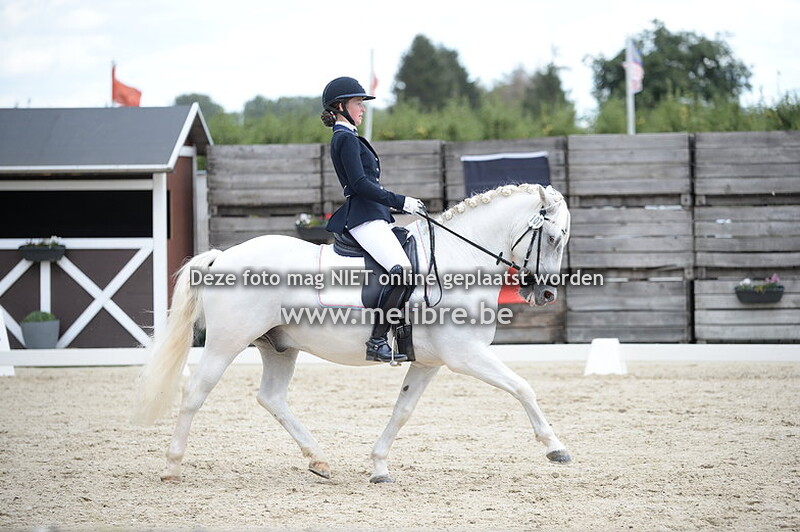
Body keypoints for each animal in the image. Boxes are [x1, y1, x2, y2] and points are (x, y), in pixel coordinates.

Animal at [133, 183, 572, 483]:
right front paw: (556, 448)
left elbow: (402, 410)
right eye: (553, 238)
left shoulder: (429, 363)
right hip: (227, 343)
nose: (546, 293)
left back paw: (319, 460)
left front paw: (379, 466)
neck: (456, 259)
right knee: (196, 392)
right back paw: (172, 466)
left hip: (279, 347)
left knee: (271, 397)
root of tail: (224, 256)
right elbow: (522, 388)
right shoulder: (465, 355)